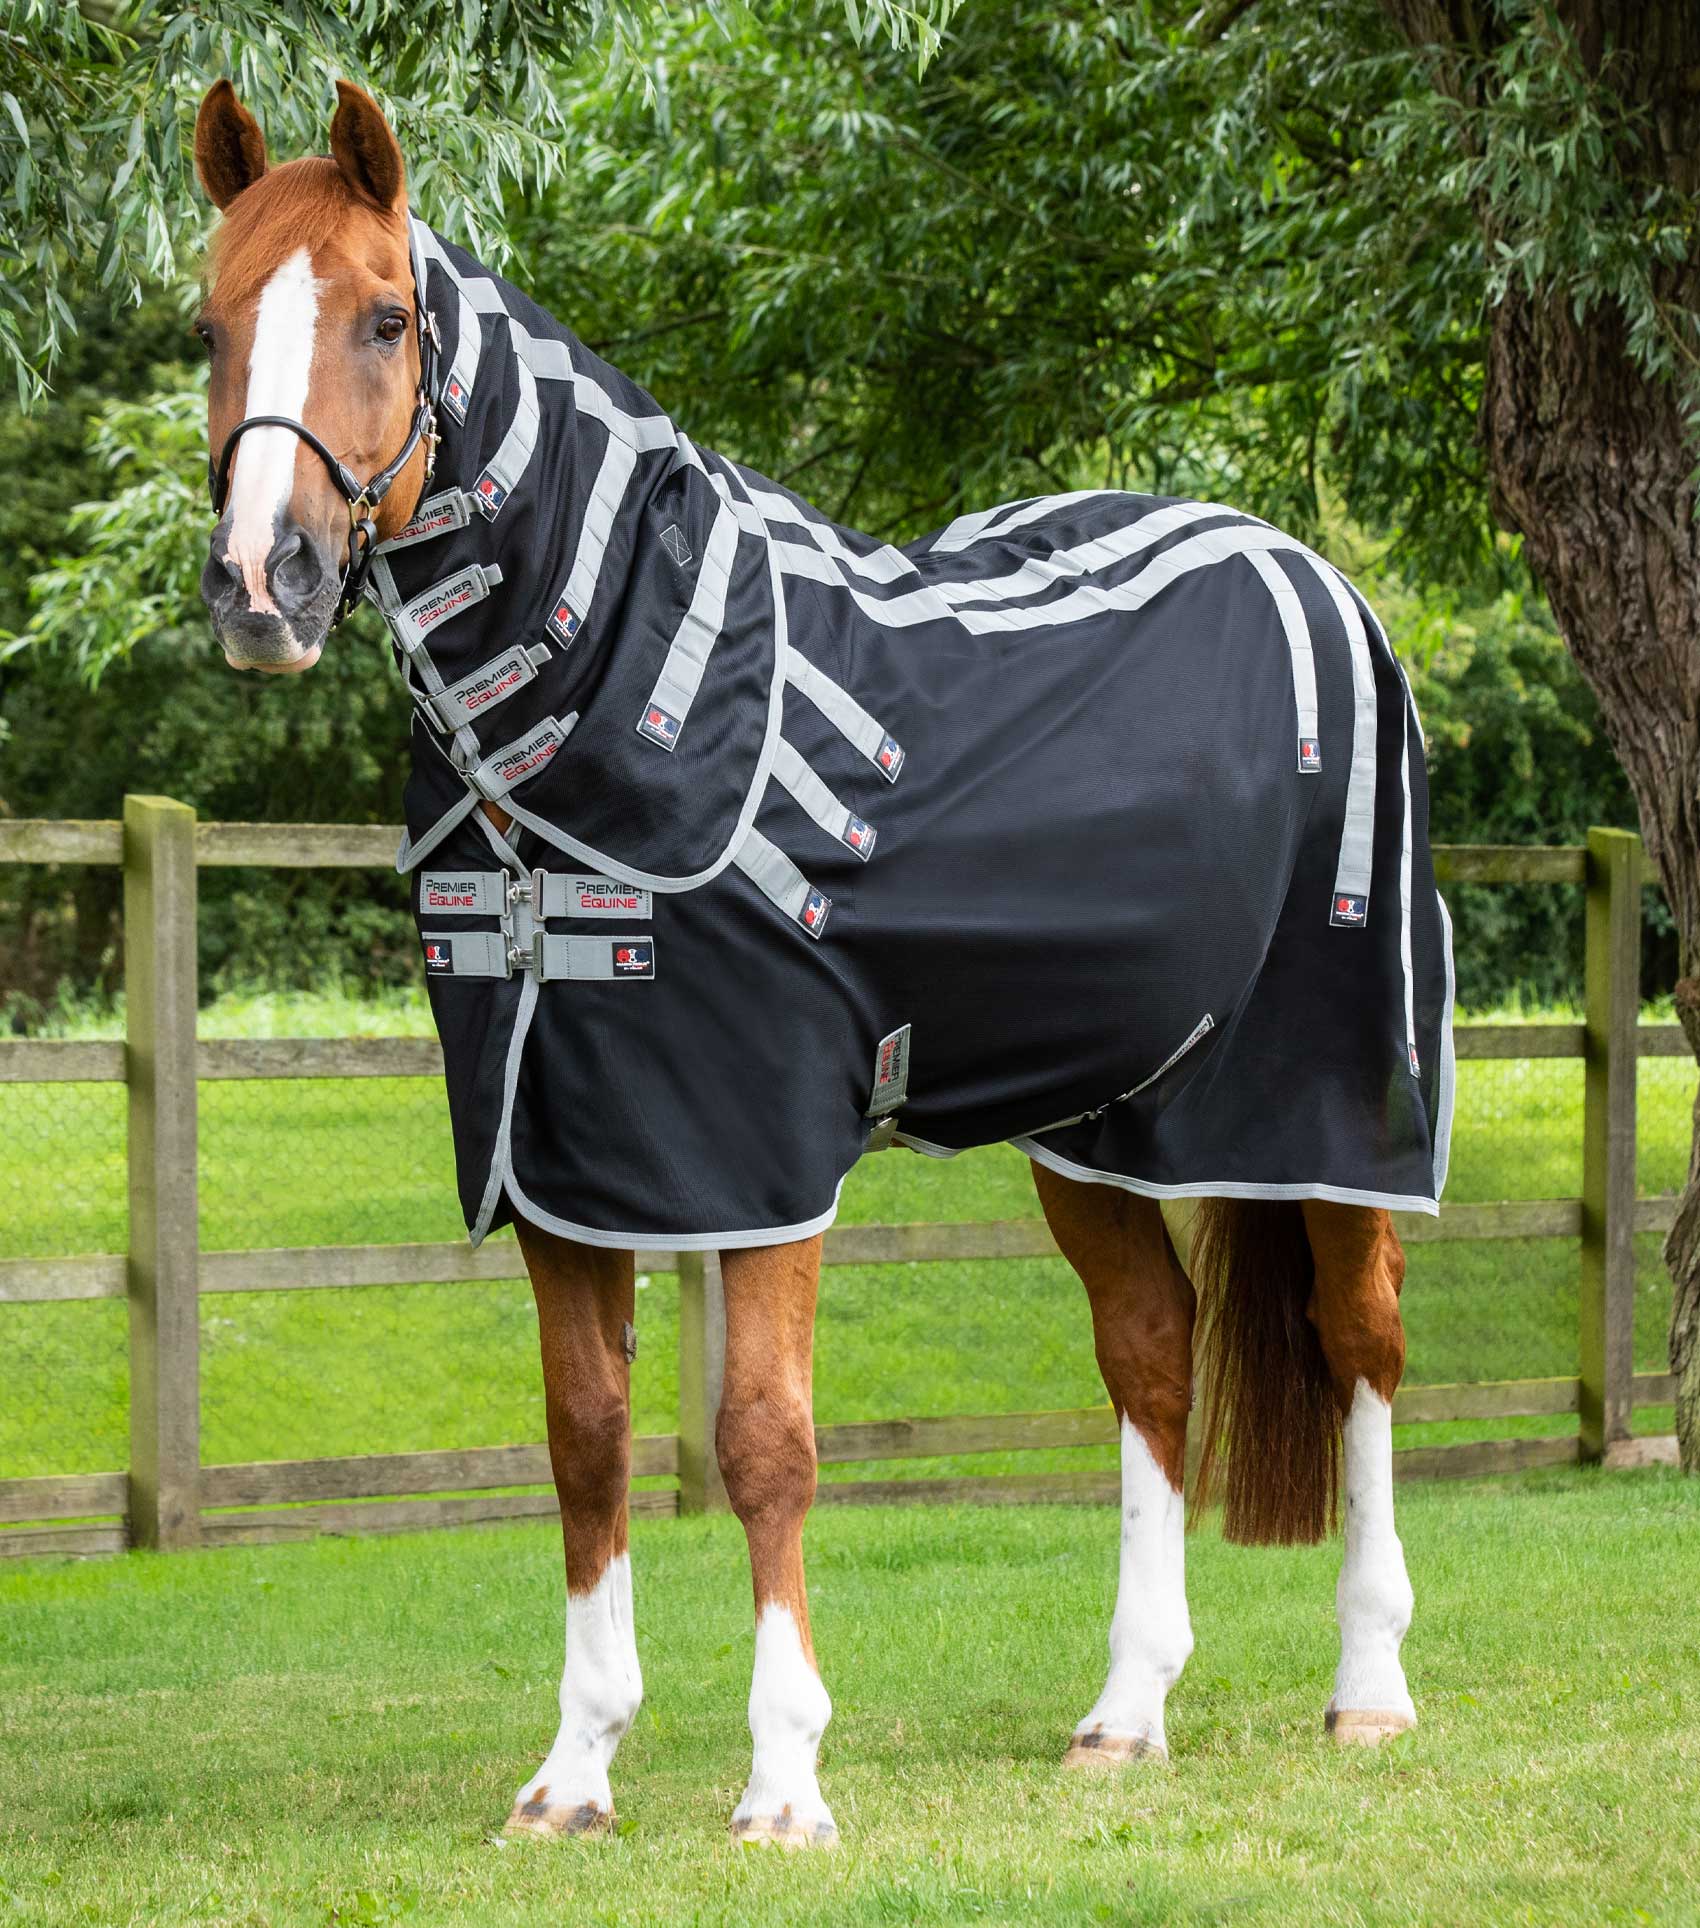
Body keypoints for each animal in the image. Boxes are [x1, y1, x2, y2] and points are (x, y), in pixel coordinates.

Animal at [191, 78, 1447, 1846]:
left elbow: (764, 1440)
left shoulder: (756, 1144)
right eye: (210, 325)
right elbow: (588, 1439)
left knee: (1362, 1345)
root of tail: (1311, 570)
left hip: (1331, 1110)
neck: (605, 712)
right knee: (1151, 1351)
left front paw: (785, 1780)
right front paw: (574, 1773)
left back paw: (1370, 1688)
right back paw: (1126, 1712)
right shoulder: (563, 1148)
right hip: (1093, 1121)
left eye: (383, 316)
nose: (263, 584)